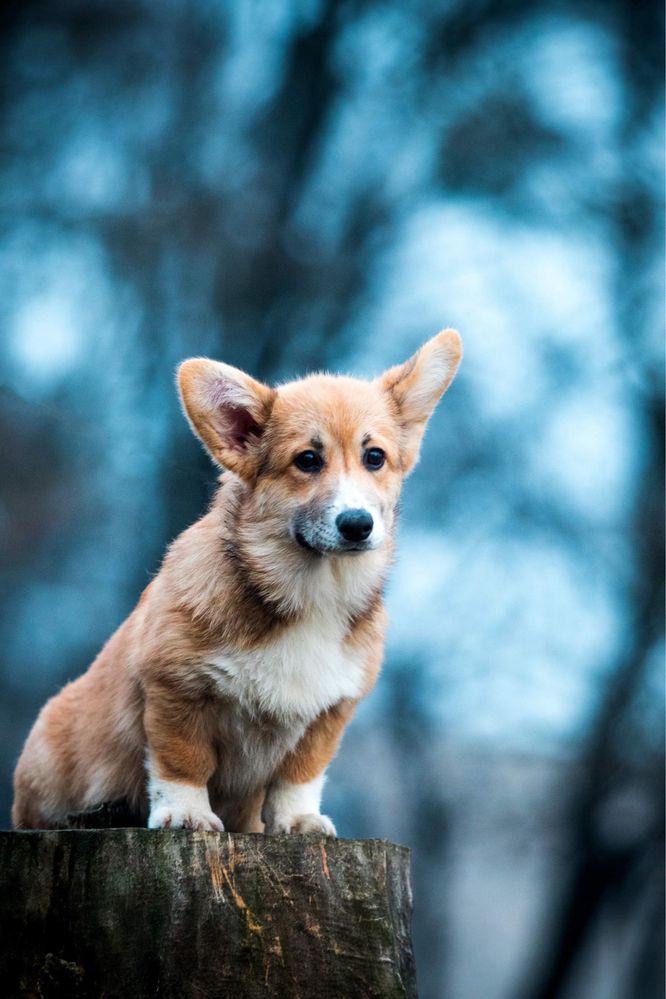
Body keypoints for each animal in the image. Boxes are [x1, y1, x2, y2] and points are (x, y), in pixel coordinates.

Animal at [14, 330, 462, 836]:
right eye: (308, 460)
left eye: (375, 458)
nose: (357, 525)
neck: (312, 591)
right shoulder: (175, 687)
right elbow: (183, 760)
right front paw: (186, 814)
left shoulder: (330, 712)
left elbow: (300, 774)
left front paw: (300, 820)